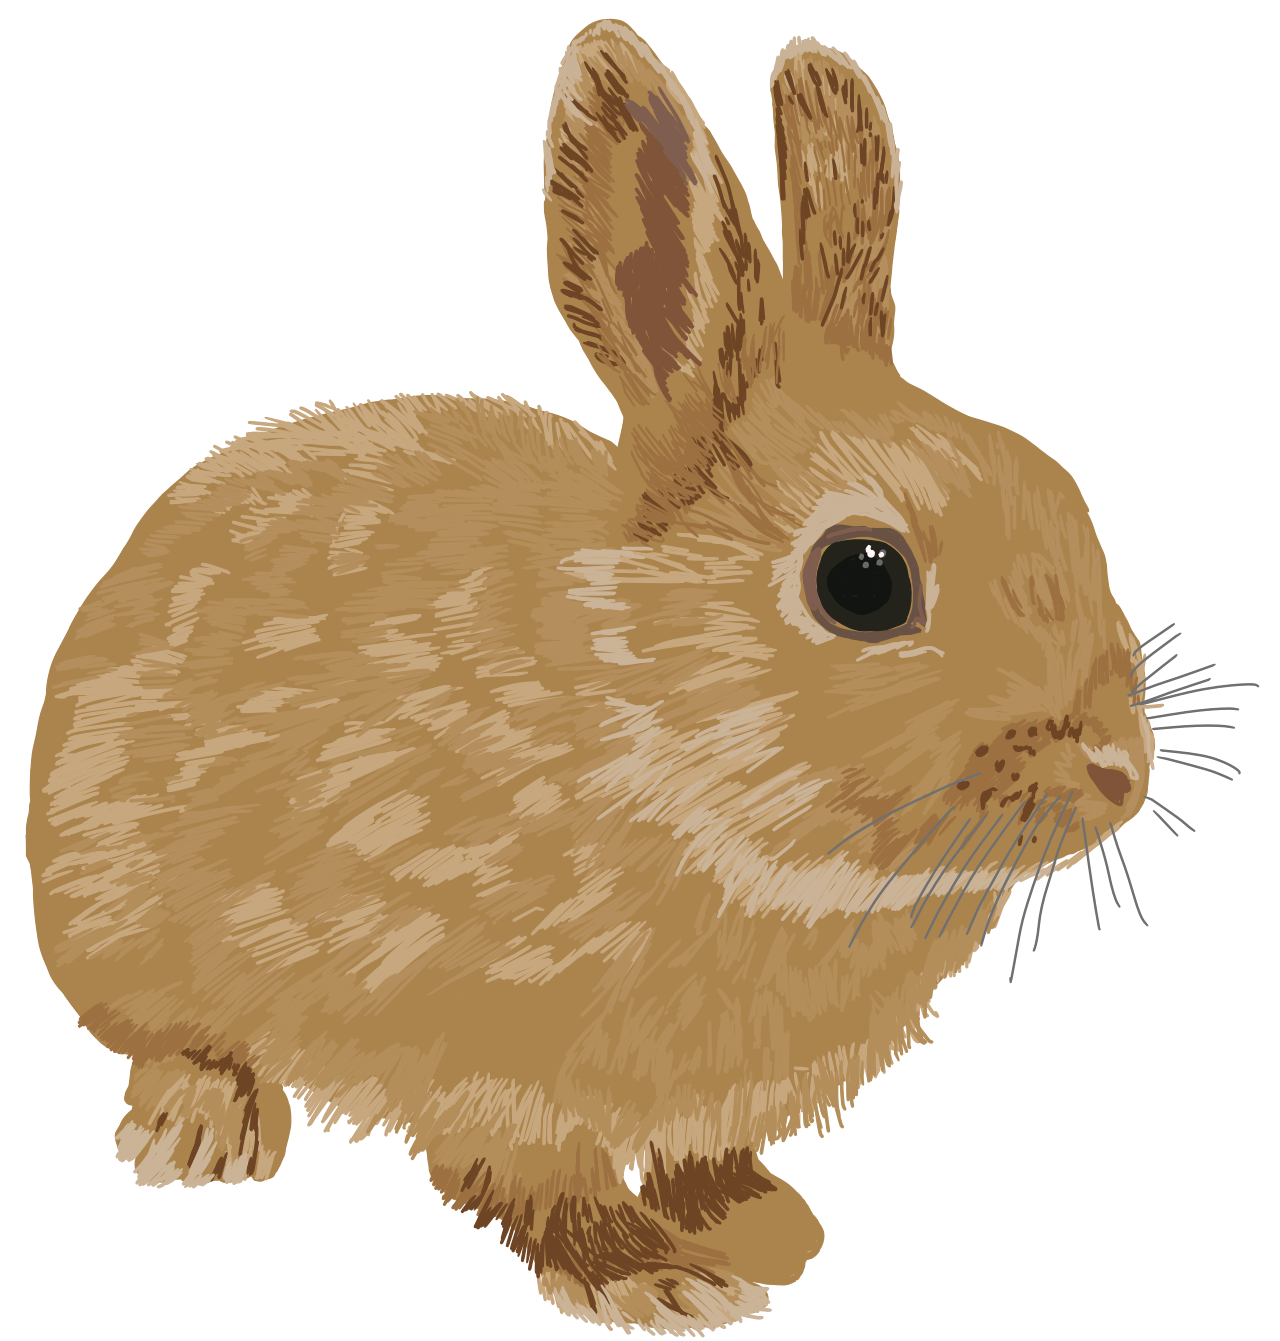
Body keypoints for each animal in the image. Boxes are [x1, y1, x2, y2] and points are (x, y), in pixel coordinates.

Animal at [28, 17, 1230, 1334]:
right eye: (862, 582)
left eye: (1058, 489)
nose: (1116, 769)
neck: (646, 717)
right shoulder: (494, 1061)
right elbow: (540, 1182)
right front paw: (654, 1279)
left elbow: (703, 1158)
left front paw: (763, 1227)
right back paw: (205, 1129)